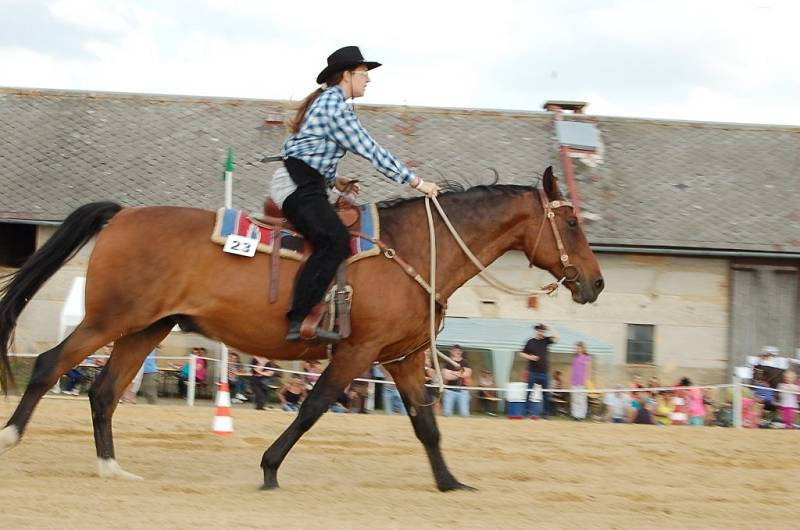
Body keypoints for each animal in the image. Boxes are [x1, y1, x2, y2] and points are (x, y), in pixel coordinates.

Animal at [0, 167, 600, 488]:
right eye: (571, 221)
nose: (593, 284)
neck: (412, 251)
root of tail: (123, 214)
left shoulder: (402, 357)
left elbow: (426, 424)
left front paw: (450, 482)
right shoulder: (359, 351)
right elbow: (314, 406)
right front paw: (269, 468)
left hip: (147, 328)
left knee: (103, 391)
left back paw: (111, 467)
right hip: (110, 319)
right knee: (52, 366)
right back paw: (12, 437)